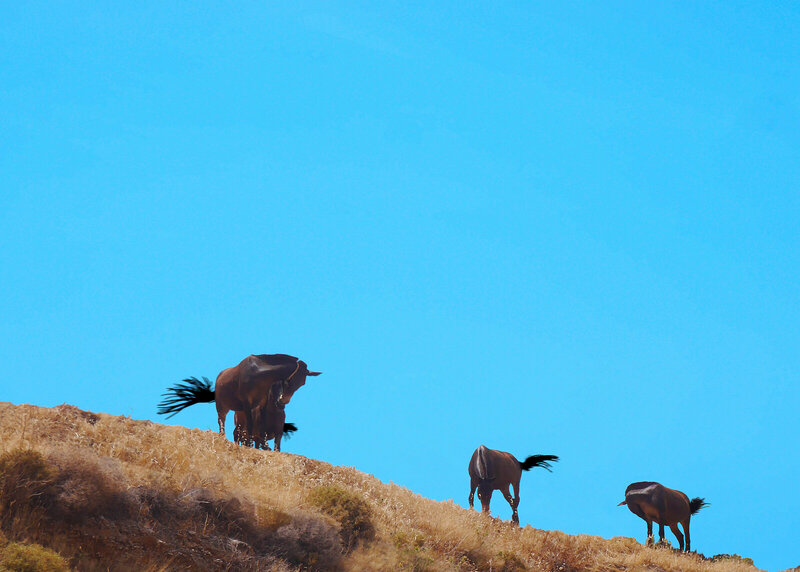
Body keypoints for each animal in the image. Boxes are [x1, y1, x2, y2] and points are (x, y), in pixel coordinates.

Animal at [157, 354, 321, 444]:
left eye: (302, 383)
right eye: (289, 382)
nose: (284, 402)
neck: (259, 373)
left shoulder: (260, 406)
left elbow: (259, 428)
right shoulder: (247, 404)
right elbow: (250, 428)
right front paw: (249, 444)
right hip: (222, 406)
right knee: (221, 420)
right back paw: (222, 436)